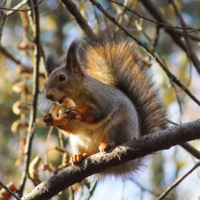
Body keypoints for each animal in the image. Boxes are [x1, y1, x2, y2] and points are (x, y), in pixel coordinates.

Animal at [43, 31, 166, 177]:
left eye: (62, 77)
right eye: (45, 83)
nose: (48, 95)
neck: (76, 97)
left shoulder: (102, 99)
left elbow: (97, 113)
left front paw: (77, 112)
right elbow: (71, 126)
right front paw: (49, 119)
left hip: (119, 126)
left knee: (116, 139)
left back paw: (107, 144)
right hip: (78, 142)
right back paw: (79, 156)